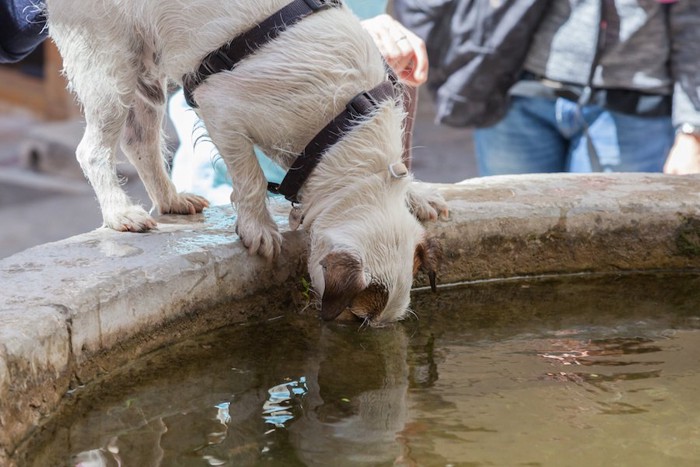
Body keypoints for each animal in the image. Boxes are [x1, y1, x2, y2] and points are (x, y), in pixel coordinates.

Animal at [45, 0, 448, 326]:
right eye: (354, 315)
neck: (342, 125)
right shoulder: (221, 110)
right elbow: (249, 176)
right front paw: (258, 227)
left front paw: (417, 193)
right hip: (108, 64)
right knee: (92, 149)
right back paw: (119, 211)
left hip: (145, 67)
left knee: (138, 140)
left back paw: (171, 200)